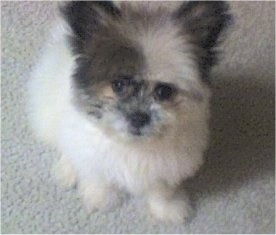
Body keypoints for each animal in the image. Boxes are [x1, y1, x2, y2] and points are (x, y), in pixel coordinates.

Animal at [28, 0, 231, 223]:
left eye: (164, 91)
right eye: (118, 85)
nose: (138, 117)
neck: (134, 146)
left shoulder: (168, 167)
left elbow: (162, 189)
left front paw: (167, 209)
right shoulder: (94, 155)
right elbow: (97, 175)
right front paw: (102, 198)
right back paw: (67, 169)